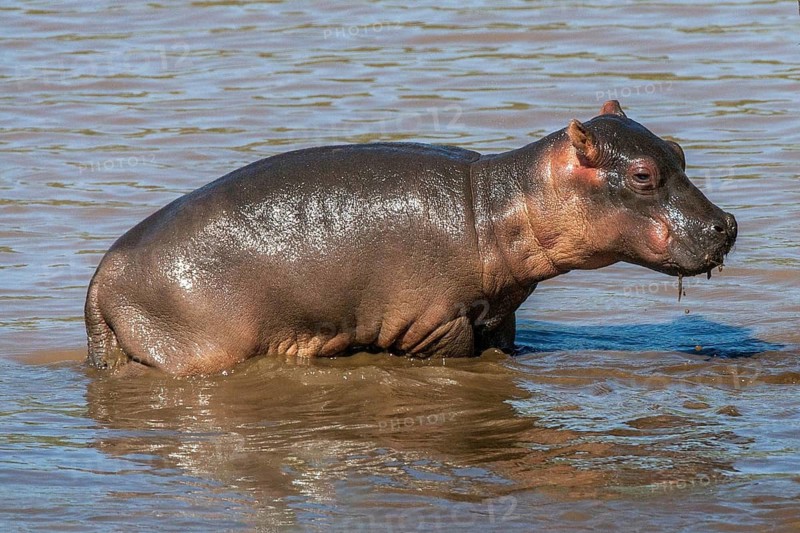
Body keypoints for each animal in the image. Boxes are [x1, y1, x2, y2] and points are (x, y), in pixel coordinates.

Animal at [85, 101, 737, 376]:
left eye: (678, 150)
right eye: (643, 175)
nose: (727, 224)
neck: (501, 202)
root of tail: (98, 281)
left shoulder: (499, 314)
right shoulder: (437, 322)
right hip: (198, 350)